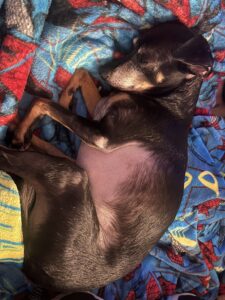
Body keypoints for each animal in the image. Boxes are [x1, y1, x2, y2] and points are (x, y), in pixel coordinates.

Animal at [0, 21, 212, 292]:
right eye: (133, 45)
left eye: (144, 59)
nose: (103, 71)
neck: (169, 102)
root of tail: (35, 272)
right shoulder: (99, 113)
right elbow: (80, 75)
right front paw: (67, 96)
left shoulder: (102, 136)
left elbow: (41, 102)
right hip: (70, 166)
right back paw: (24, 134)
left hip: (70, 175)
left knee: (13, 155)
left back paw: (19, 134)